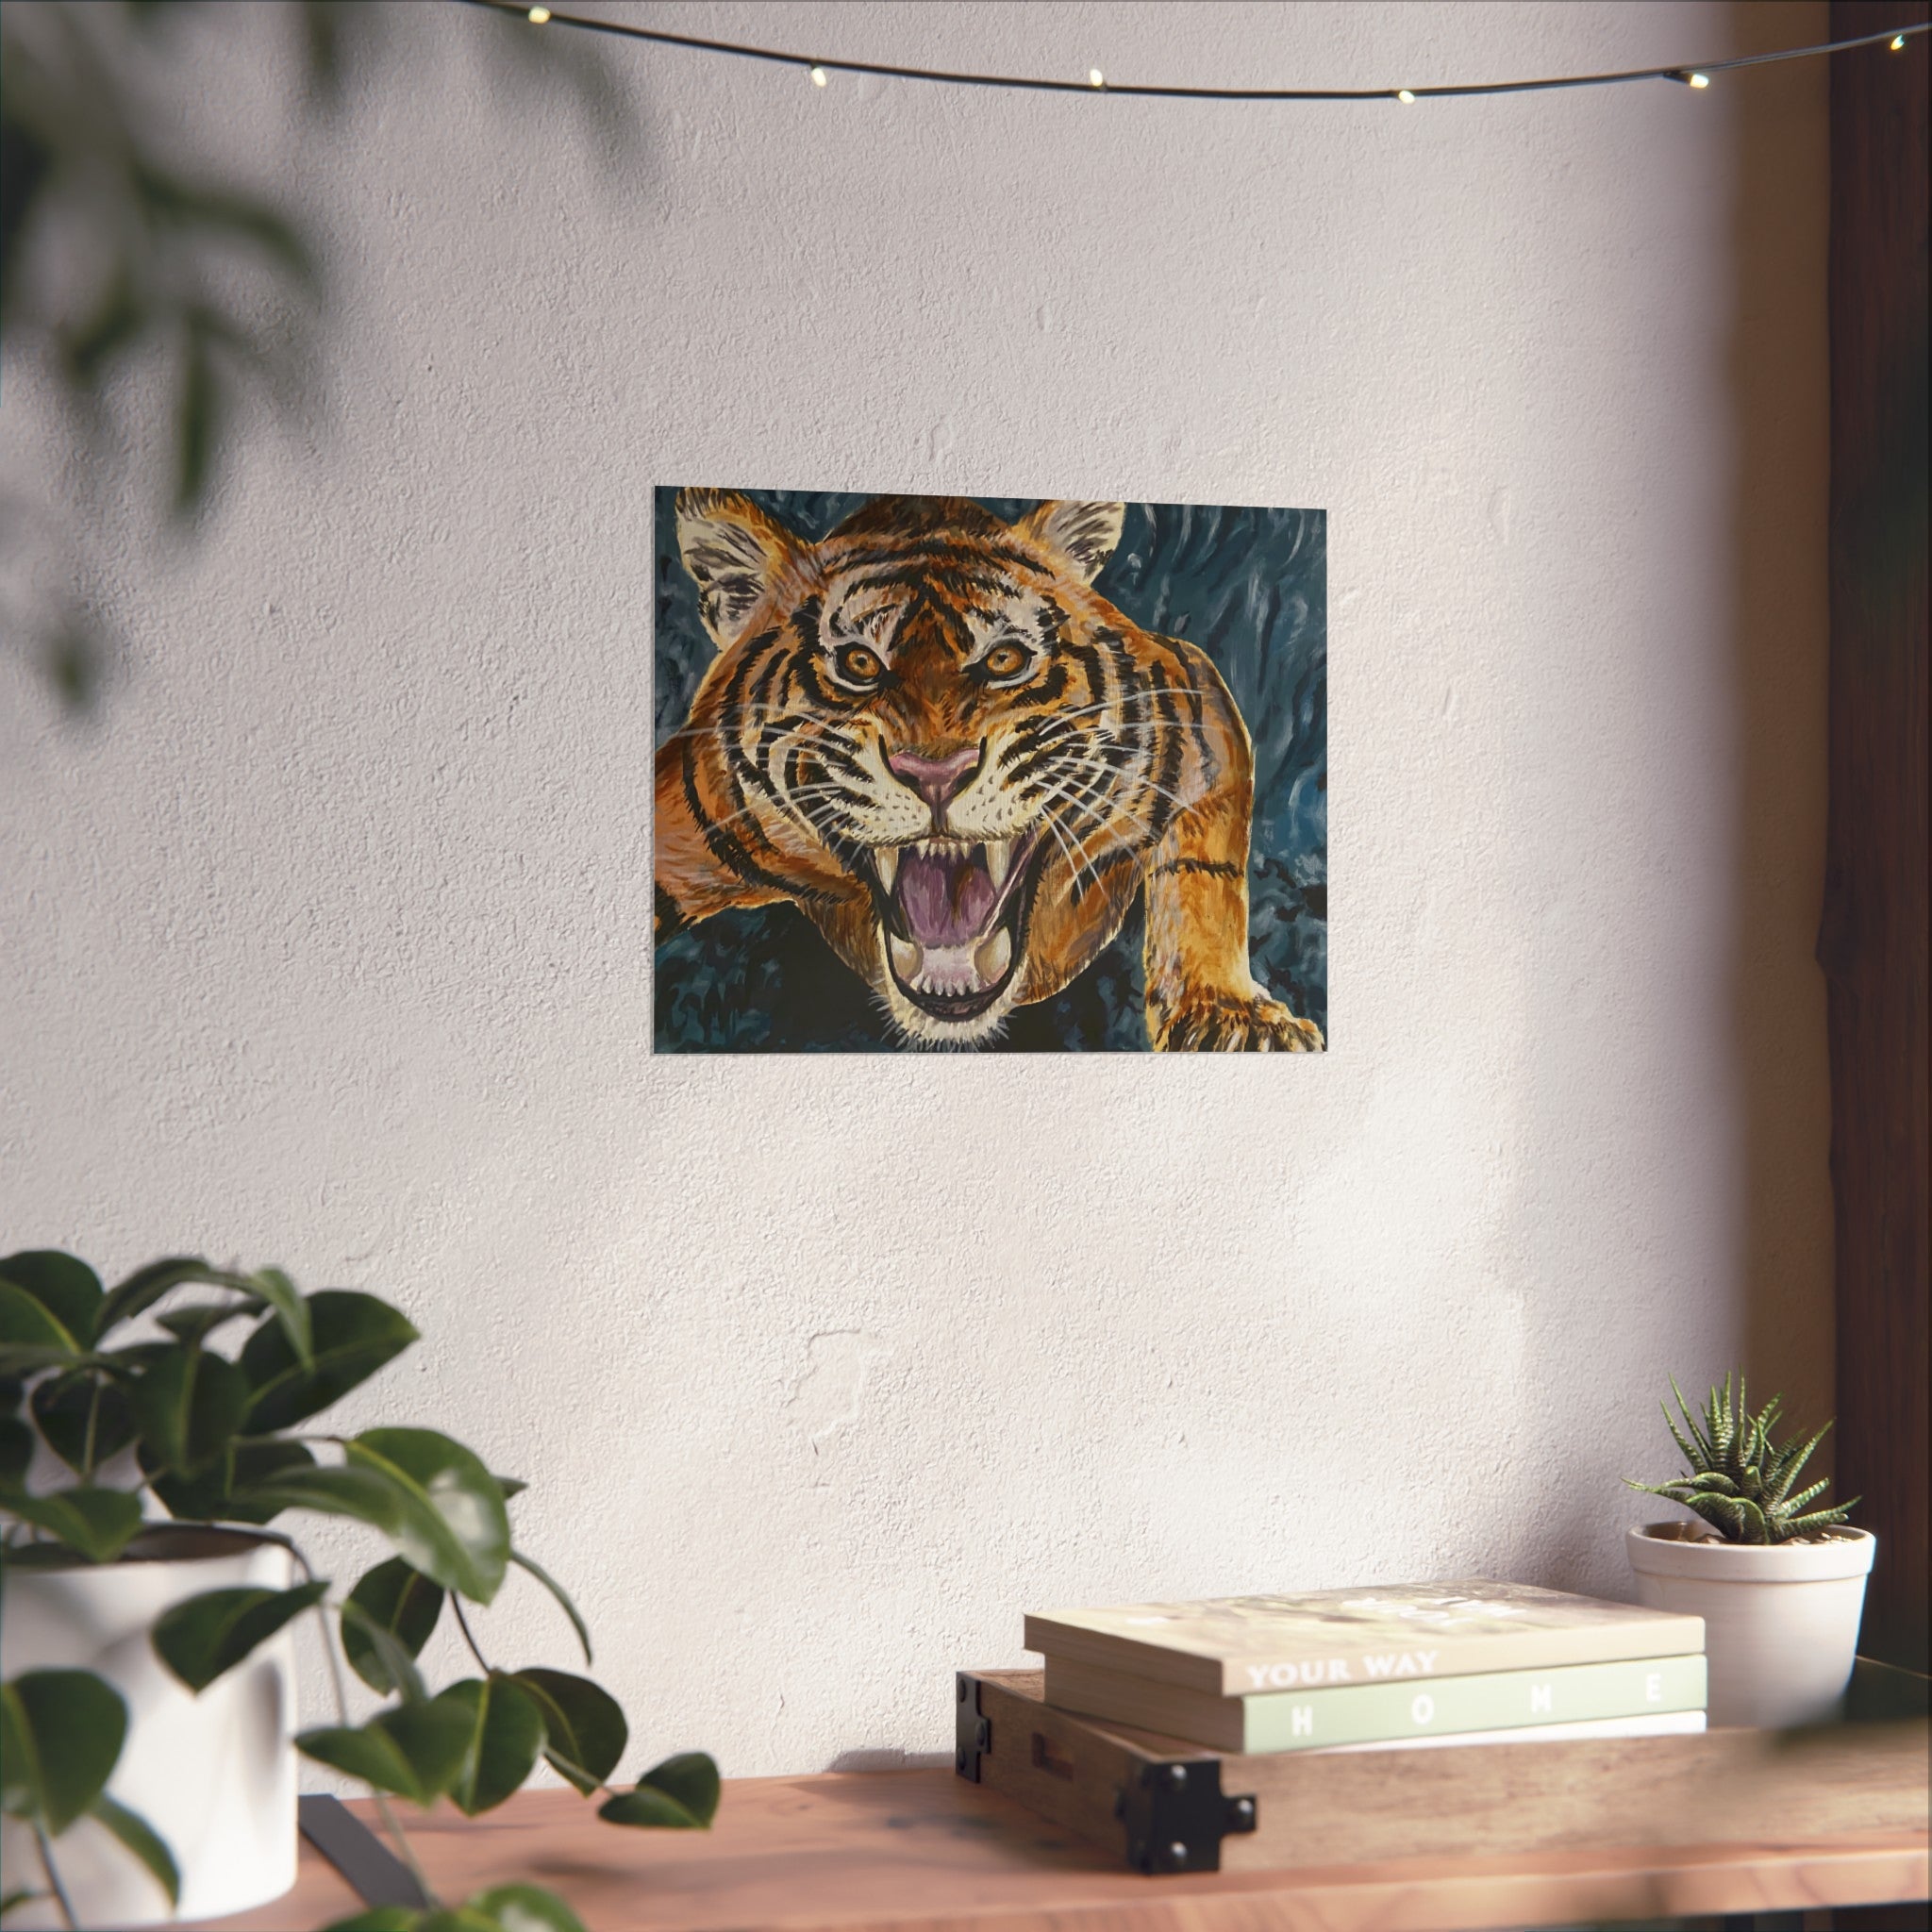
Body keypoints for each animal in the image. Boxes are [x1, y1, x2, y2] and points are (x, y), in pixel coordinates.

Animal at [654, 491, 1324, 1053]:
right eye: (858, 663)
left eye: (1004, 659)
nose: (935, 772)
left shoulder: (1196, 694)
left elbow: (1206, 874)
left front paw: (1233, 1018)